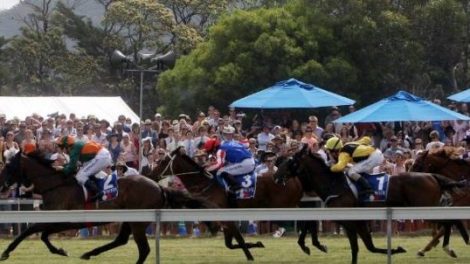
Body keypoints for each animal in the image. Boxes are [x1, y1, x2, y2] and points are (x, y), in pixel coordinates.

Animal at [0, 150, 211, 262]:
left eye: (8, 166)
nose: (1, 185)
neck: (56, 185)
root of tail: (158, 186)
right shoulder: (57, 221)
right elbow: (41, 234)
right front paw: (60, 250)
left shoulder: (63, 220)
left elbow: (31, 231)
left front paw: (6, 252)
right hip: (130, 219)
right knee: (122, 240)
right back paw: (89, 253)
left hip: (138, 222)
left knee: (143, 249)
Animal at [149, 148, 328, 260]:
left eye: (163, 160)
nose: (150, 174)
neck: (205, 183)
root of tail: (294, 178)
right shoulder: (224, 220)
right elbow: (230, 244)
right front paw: (257, 244)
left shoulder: (226, 217)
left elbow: (238, 240)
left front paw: (250, 256)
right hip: (287, 206)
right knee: (309, 219)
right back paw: (314, 244)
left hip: (282, 207)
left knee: (305, 220)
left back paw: (308, 244)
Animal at [274, 146, 460, 264]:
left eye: (290, 162)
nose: (275, 177)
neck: (334, 184)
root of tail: (432, 175)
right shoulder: (353, 220)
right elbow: (369, 246)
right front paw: (312, 245)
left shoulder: (348, 222)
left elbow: (356, 248)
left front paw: (314, 245)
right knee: (448, 222)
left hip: (424, 209)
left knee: (448, 222)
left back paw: (447, 248)